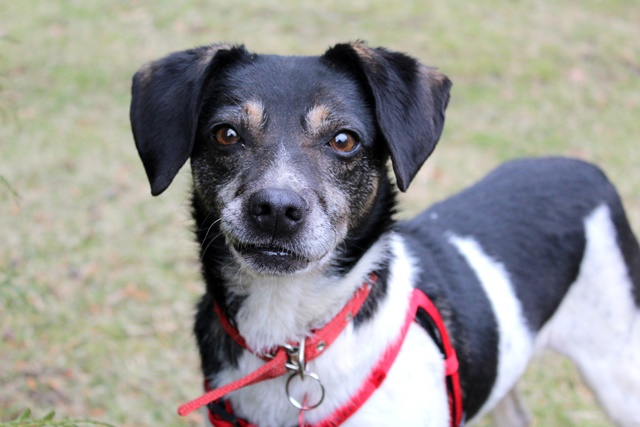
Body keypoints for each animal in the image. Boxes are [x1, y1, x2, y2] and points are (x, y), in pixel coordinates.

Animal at [129, 41, 640, 426]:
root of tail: (585, 166)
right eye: (226, 134)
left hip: (618, 373)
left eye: (344, 140)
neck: (294, 338)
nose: (275, 210)